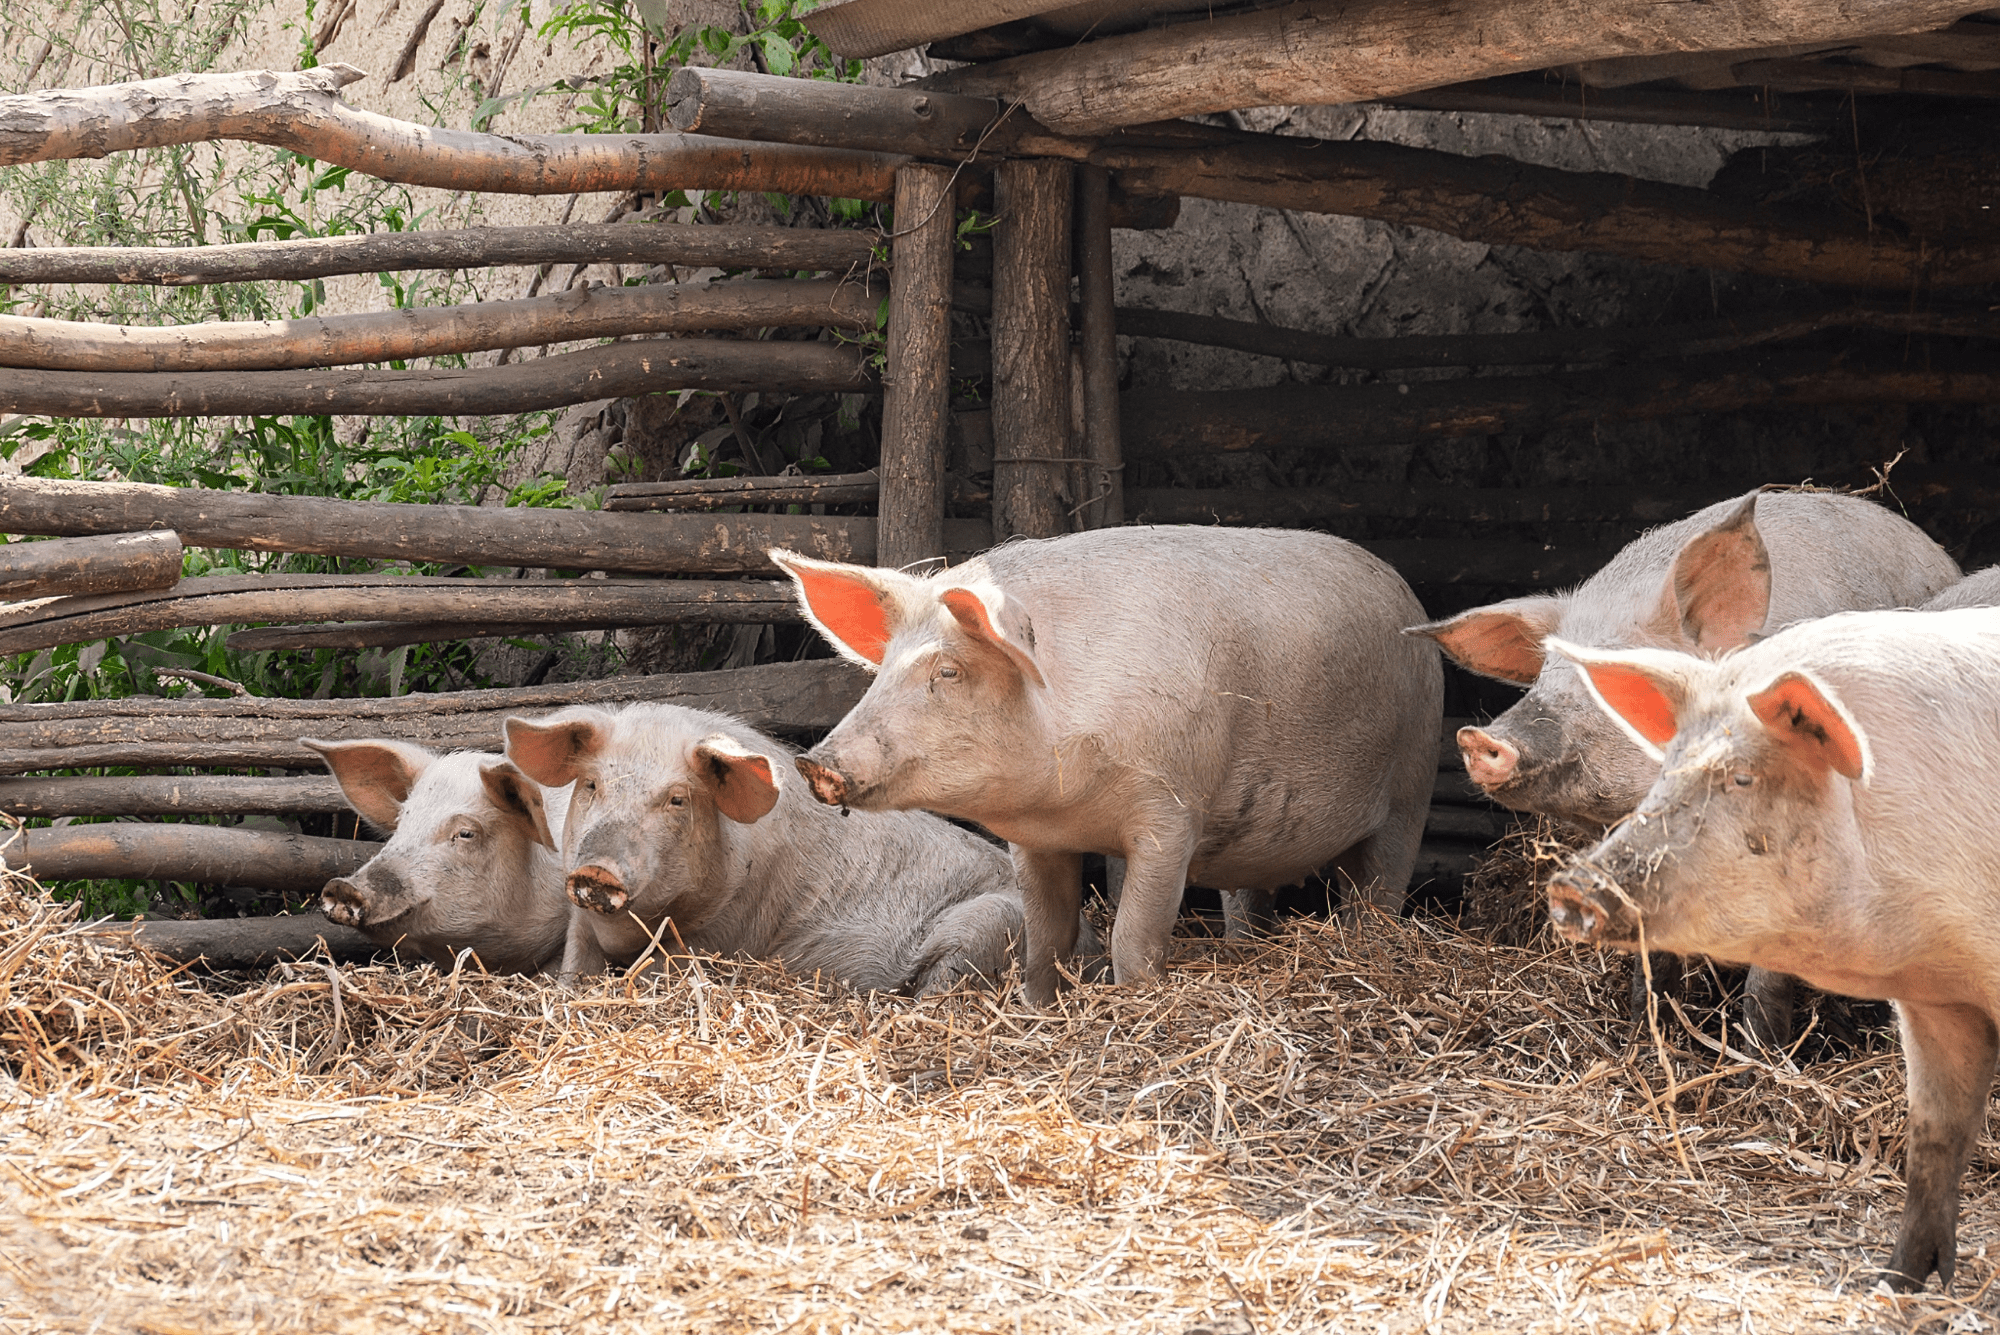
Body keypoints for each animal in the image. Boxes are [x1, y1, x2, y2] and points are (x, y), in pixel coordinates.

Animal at [503, 703, 1062, 994]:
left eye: (677, 799)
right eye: (591, 785)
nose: (596, 871)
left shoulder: (729, 929)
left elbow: (664, 970)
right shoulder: (581, 923)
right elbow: (574, 967)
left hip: (991, 923)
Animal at [769, 525, 1444, 1006]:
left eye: (950, 671)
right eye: (883, 671)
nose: (813, 762)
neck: (1066, 800)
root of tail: (1405, 589)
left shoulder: (1171, 813)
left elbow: (1134, 935)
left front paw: (1133, 1003)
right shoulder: (1036, 841)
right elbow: (1046, 934)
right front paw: (1037, 1008)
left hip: (1415, 774)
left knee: (1380, 889)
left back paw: (1371, 946)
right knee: (1248, 901)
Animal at [1542, 606, 2000, 1291]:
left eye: (1742, 776)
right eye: (1666, 769)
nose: (1573, 884)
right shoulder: (1938, 998)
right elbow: (1935, 1137)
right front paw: (1894, 1287)